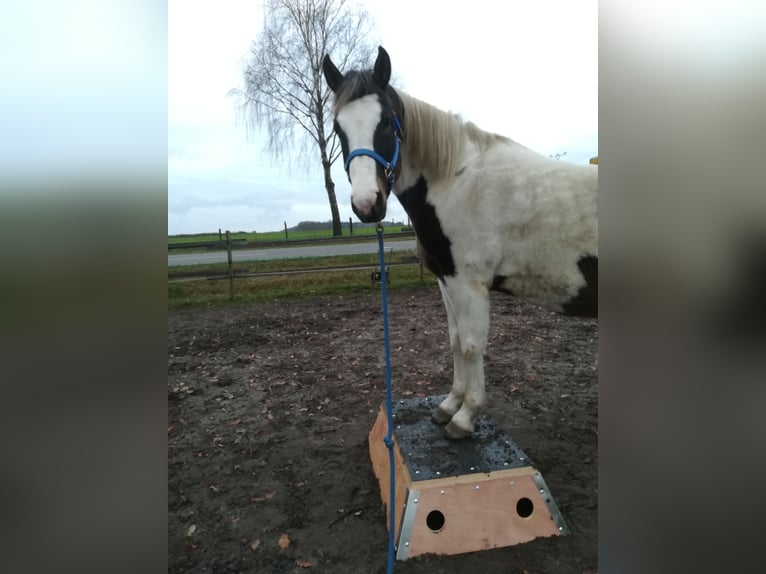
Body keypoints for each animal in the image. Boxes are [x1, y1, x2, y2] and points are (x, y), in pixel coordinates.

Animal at [324, 46, 600, 440]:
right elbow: (455, 340)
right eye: (338, 127)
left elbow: (471, 346)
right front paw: (448, 405)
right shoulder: (447, 280)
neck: (456, 181)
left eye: (387, 121)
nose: (367, 204)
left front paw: (466, 417)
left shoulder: (470, 285)